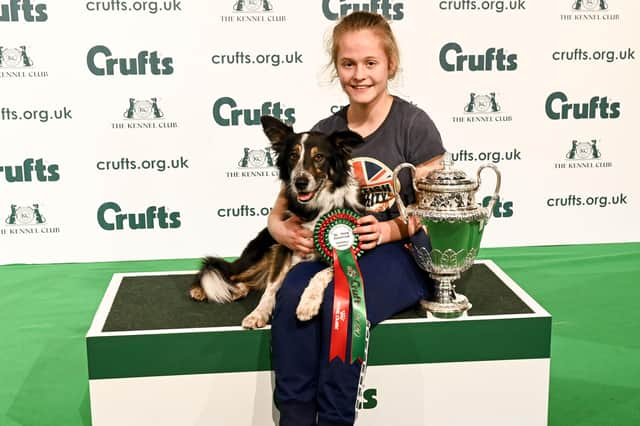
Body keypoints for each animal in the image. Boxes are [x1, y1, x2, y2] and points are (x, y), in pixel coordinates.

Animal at [188, 115, 362, 330]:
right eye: (293, 156)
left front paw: (308, 303)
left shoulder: (348, 250)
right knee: (224, 271)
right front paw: (259, 313)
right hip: (258, 256)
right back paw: (201, 289)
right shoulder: (283, 244)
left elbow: (321, 274)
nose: (300, 182)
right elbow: (272, 286)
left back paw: (237, 290)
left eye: (319, 157)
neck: (314, 209)